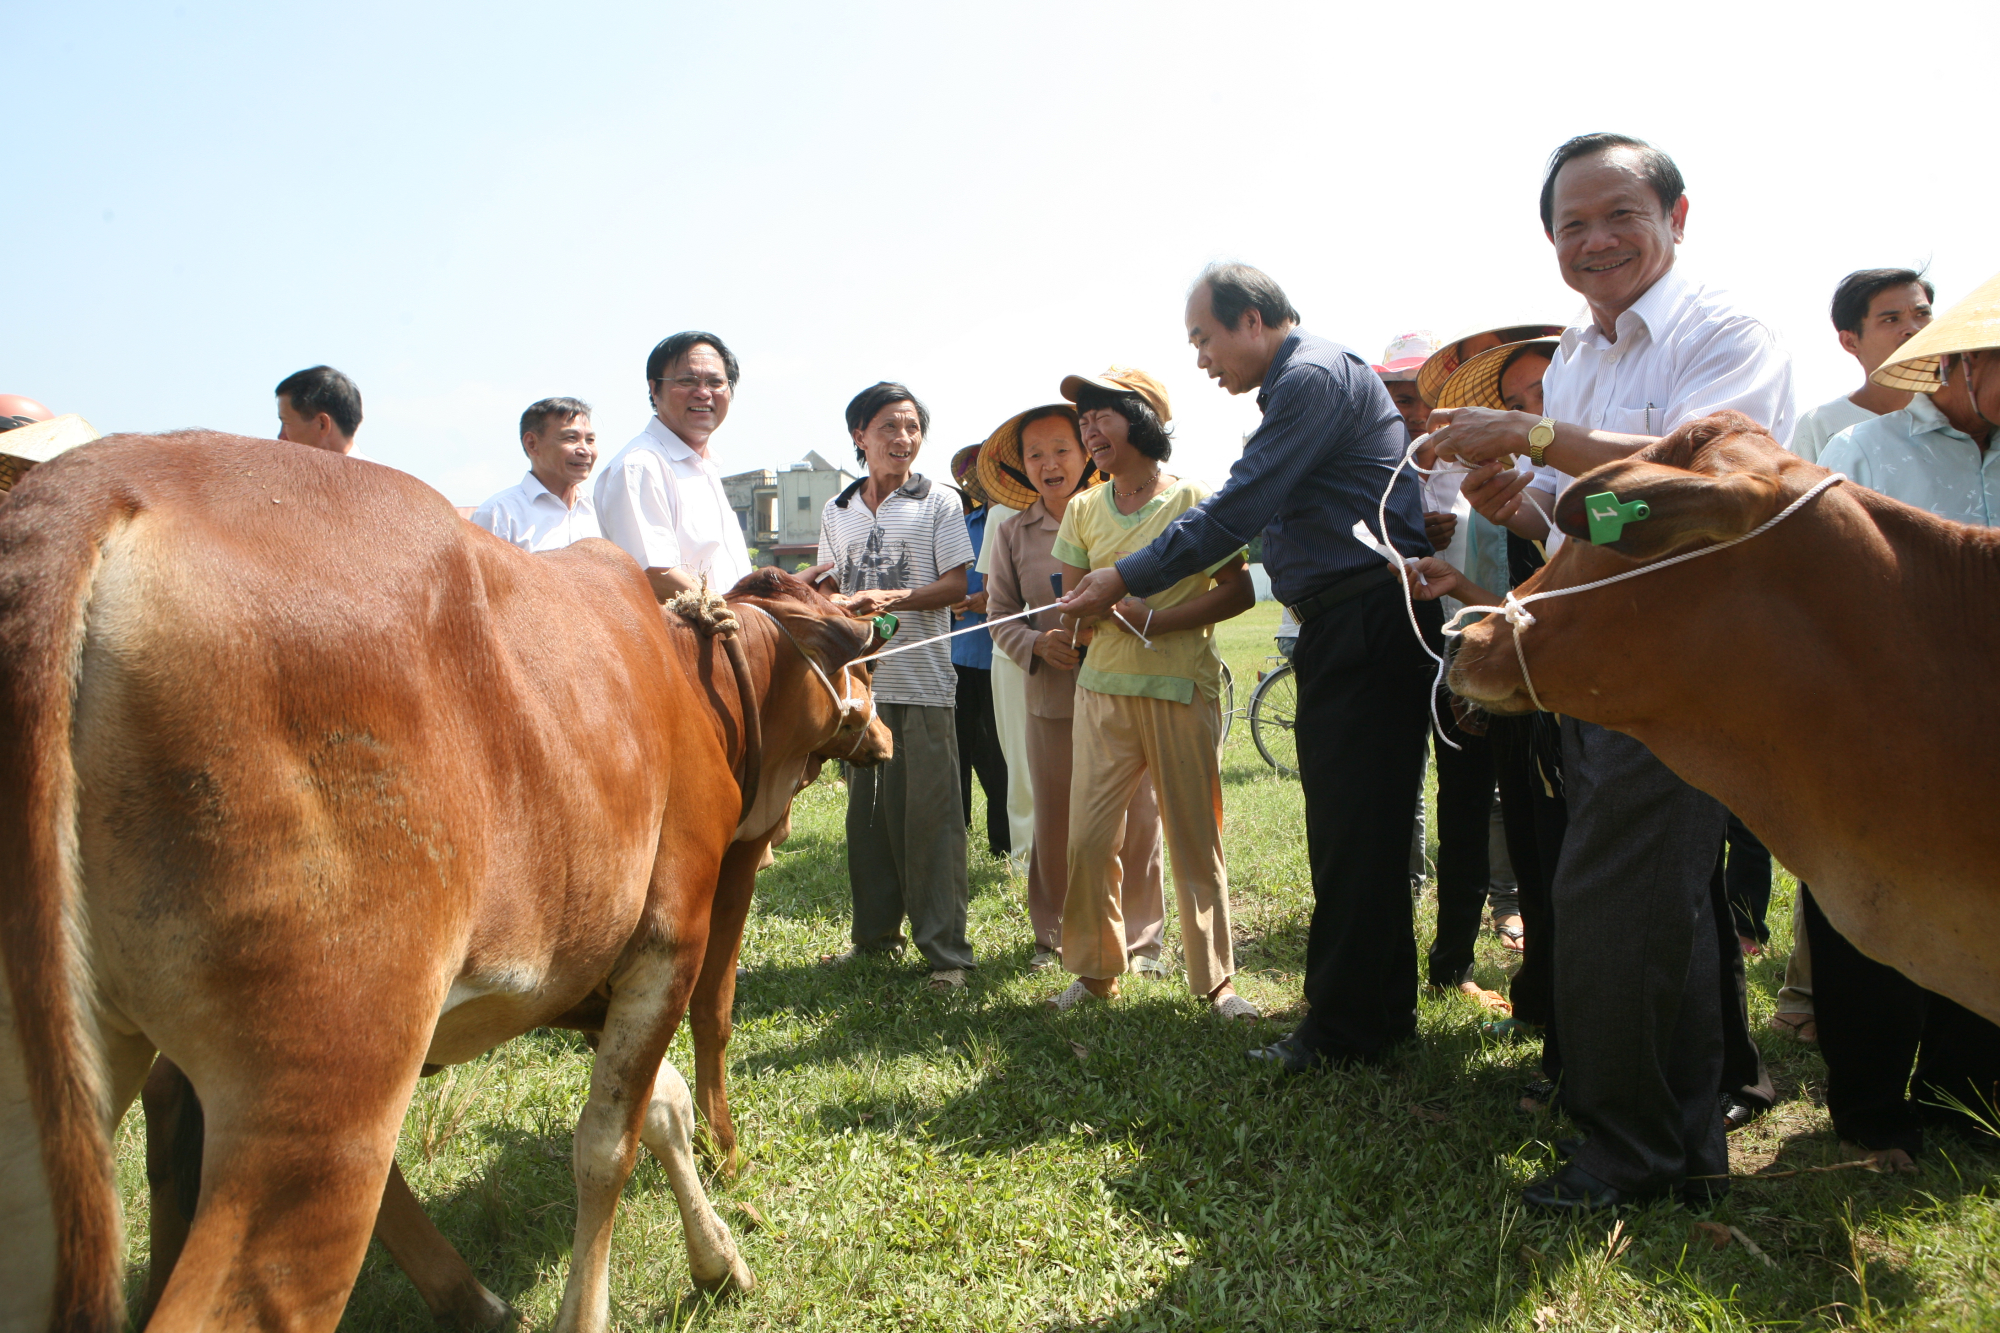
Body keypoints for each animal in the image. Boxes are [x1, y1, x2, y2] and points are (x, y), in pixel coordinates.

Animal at [0, 430, 892, 1320]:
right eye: (866, 669)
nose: (882, 736)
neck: (683, 679)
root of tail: (93, 486)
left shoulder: (590, 971)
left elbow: (660, 1106)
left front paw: (718, 1257)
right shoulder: (671, 933)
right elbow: (612, 1138)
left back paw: (467, 1295)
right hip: (325, 1092)